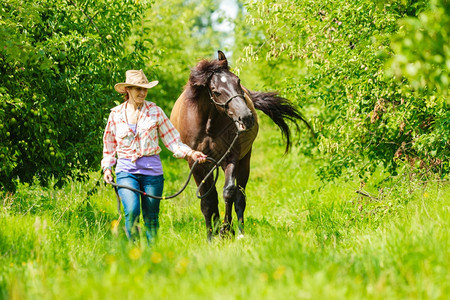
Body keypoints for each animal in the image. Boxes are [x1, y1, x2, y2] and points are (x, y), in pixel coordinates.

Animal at [171, 50, 312, 240]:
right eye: (215, 91)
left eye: (237, 81)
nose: (246, 117)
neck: (207, 125)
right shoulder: (196, 162)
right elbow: (207, 200)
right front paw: (211, 236)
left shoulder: (231, 156)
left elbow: (229, 192)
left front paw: (225, 230)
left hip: (243, 161)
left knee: (240, 196)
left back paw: (239, 232)